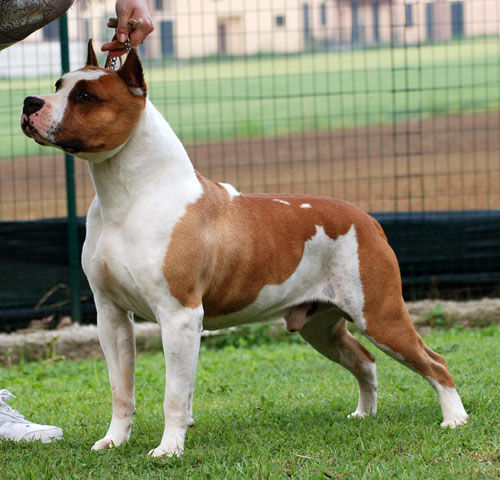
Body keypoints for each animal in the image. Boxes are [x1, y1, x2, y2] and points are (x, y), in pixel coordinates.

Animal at [21, 41, 468, 457]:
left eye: (86, 96)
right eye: (58, 84)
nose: (29, 102)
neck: (129, 195)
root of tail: (367, 218)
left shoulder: (179, 317)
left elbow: (174, 395)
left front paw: (169, 449)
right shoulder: (111, 316)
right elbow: (121, 389)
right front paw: (114, 441)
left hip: (380, 314)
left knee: (434, 362)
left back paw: (455, 419)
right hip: (321, 326)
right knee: (365, 360)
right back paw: (364, 413)